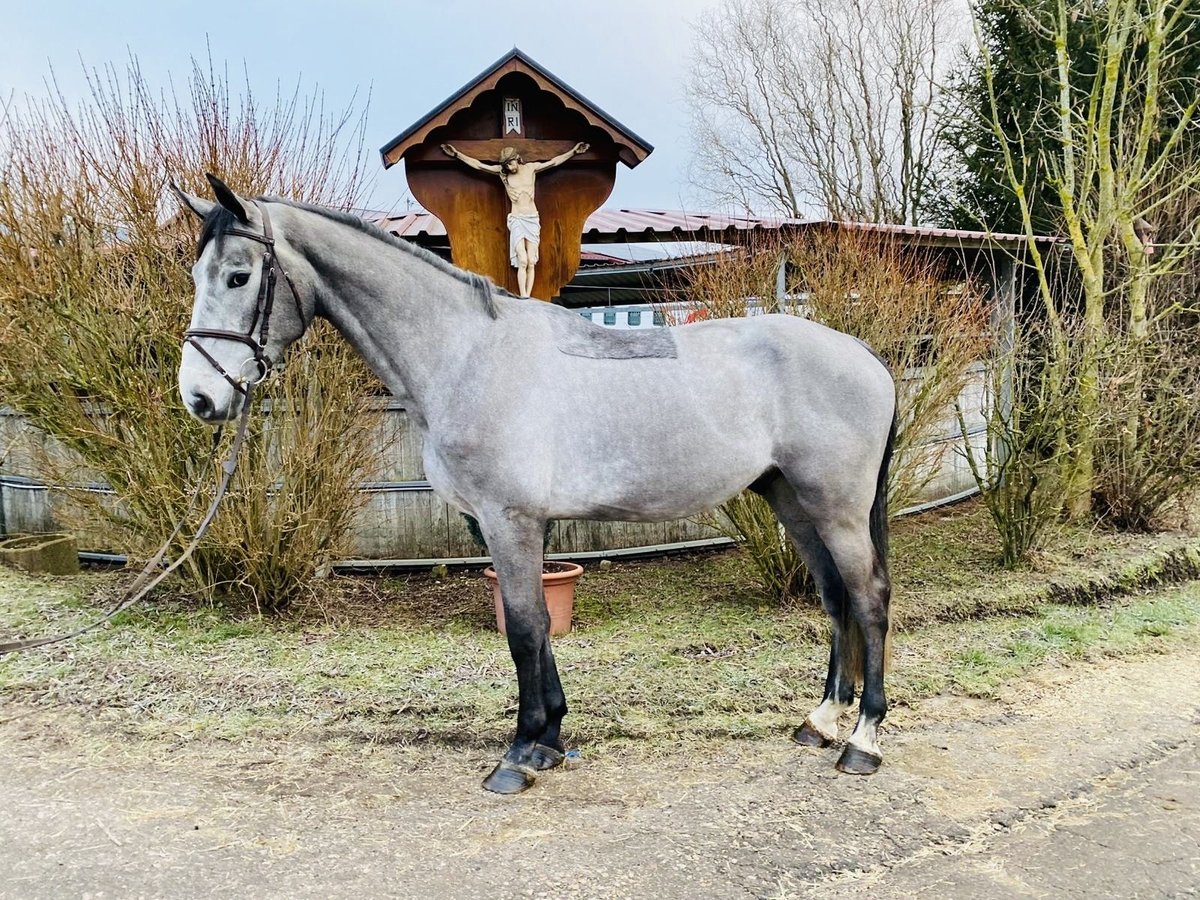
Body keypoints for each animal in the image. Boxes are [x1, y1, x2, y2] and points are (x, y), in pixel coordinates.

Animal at [174, 176, 897, 796]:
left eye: (238, 275)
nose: (200, 398)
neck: (466, 356)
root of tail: (863, 353)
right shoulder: (514, 525)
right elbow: (539, 630)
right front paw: (549, 739)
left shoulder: (509, 518)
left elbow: (524, 630)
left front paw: (518, 755)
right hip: (791, 500)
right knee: (834, 596)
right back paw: (819, 722)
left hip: (836, 507)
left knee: (867, 597)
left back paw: (862, 742)